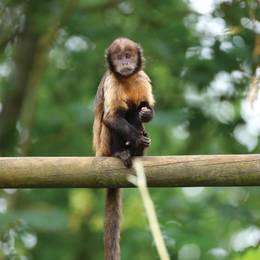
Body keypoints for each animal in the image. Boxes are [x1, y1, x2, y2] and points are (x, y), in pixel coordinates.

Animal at [92, 37, 154, 260]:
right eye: (119, 58)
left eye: (128, 56)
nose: (125, 63)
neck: (126, 79)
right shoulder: (112, 82)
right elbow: (111, 118)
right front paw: (137, 140)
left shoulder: (142, 78)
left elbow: (145, 107)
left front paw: (146, 115)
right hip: (104, 148)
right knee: (118, 114)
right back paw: (124, 152)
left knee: (134, 109)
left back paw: (137, 150)